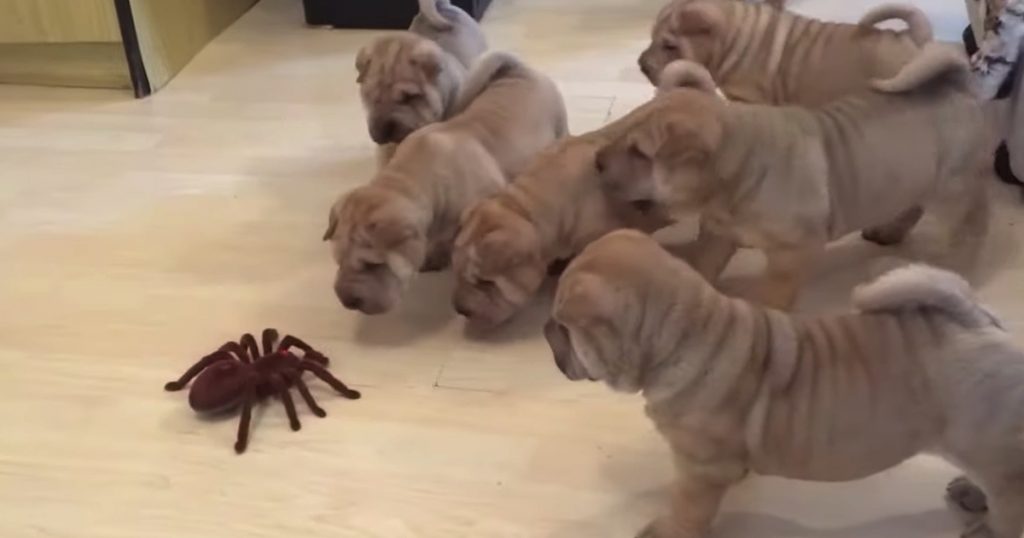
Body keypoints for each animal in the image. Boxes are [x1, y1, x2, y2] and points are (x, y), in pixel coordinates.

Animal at [325, 52, 569, 311]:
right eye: (338, 260)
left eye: (373, 265)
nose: (348, 300)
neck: (409, 179)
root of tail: (519, 69)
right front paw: (434, 255)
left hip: (560, 125)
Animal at [544, 229, 1024, 536]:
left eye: (564, 326)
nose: (547, 331)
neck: (689, 335)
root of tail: (975, 319)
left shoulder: (700, 469)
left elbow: (687, 507)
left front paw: (667, 530)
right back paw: (970, 494)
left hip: (991, 454)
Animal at [598, 49, 987, 309]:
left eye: (639, 153)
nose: (598, 162)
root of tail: (958, 86)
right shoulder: (719, 234)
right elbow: (704, 262)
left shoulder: (794, 254)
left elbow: (774, 292)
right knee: (912, 207)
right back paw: (888, 231)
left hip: (951, 190)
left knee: (964, 227)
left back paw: (950, 263)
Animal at [638, 0, 937, 104]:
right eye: (651, 39)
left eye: (670, 46)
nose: (642, 65)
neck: (735, 37)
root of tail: (913, 37)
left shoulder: (750, 99)